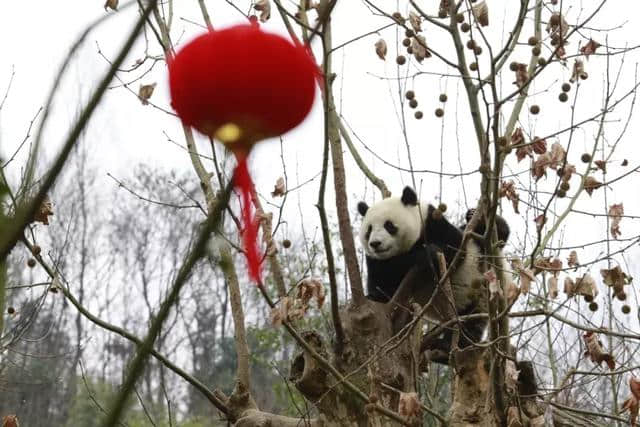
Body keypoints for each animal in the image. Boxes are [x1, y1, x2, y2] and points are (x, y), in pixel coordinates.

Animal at [356, 186, 510, 362]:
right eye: (369, 230)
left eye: (389, 225)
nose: (375, 243)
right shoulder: (376, 261)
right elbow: (380, 280)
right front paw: (375, 296)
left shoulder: (432, 222)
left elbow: (453, 247)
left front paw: (427, 254)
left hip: (478, 284)